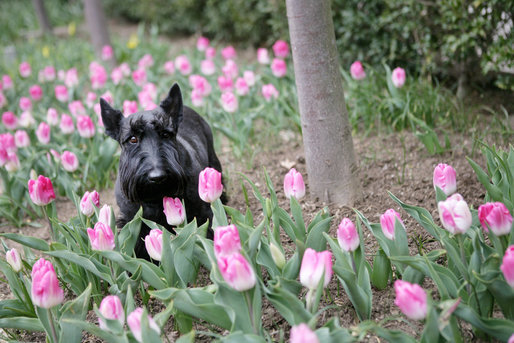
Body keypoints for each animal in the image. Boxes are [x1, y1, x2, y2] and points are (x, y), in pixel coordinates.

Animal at [100, 84, 222, 260]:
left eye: (165, 134)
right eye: (132, 139)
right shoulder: (133, 220)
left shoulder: (201, 212)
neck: (156, 196)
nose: (157, 177)